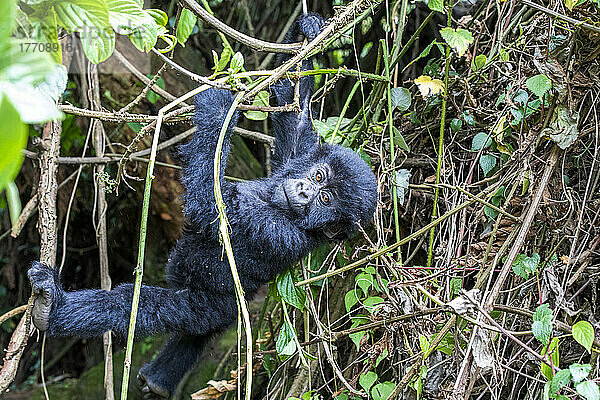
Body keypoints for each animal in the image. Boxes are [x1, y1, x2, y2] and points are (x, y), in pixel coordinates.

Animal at [28, 13, 378, 400]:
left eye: (326, 200)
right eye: (318, 177)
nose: (303, 192)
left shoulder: (274, 232)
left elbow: (209, 208)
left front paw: (220, 107)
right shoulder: (294, 159)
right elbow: (295, 118)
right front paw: (310, 36)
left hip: (205, 307)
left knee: (140, 308)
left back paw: (52, 310)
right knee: (196, 335)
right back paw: (159, 380)